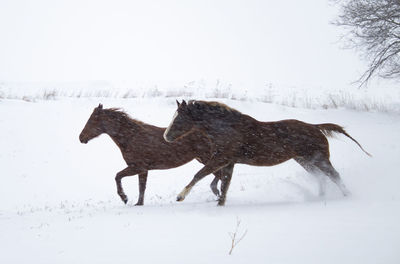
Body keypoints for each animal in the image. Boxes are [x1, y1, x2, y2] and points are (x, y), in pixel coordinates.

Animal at [79, 104, 234, 205]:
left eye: (92, 120)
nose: (81, 137)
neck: (130, 138)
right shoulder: (143, 170)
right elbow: (141, 188)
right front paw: (137, 203)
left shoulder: (138, 167)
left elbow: (118, 176)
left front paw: (125, 198)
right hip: (204, 159)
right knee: (218, 176)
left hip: (207, 158)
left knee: (219, 176)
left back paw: (216, 193)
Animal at [164, 100, 370, 205]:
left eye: (179, 118)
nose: (166, 136)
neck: (226, 128)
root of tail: (315, 127)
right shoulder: (229, 162)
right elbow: (224, 185)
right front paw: (220, 204)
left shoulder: (221, 158)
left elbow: (200, 175)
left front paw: (180, 196)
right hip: (304, 161)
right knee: (322, 178)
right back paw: (320, 198)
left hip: (319, 159)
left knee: (334, 175)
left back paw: (347, 196)